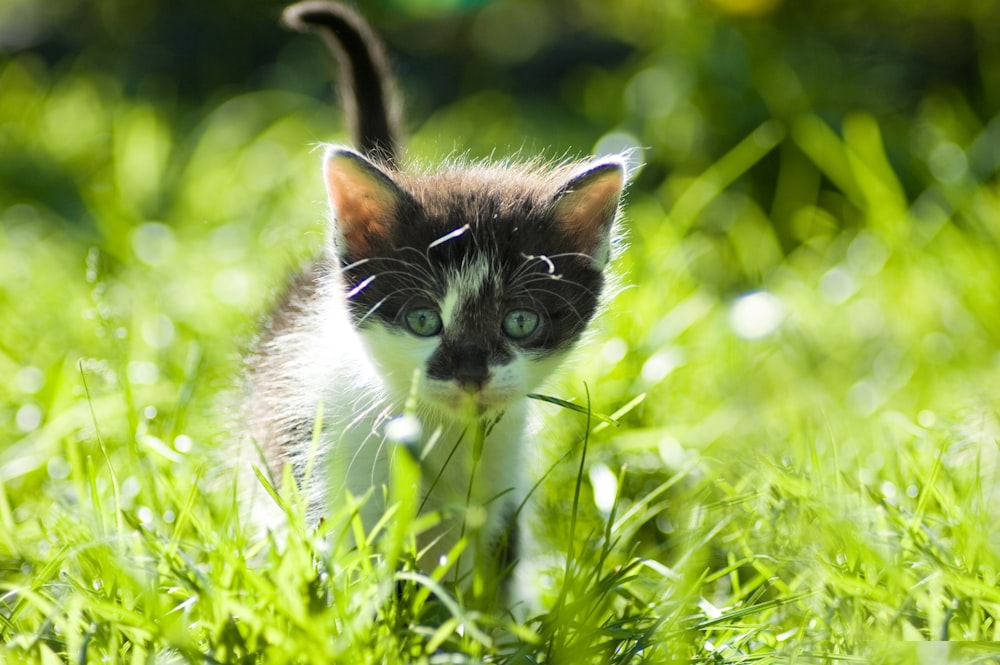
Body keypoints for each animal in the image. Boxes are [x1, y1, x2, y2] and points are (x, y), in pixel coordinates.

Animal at [238, 0, 624, 600]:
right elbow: (357, 572)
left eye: (520, 322)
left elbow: (487, 581)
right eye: (422, 319)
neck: (440, 433)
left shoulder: (498, 493)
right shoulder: (330, 467)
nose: (470, 374)